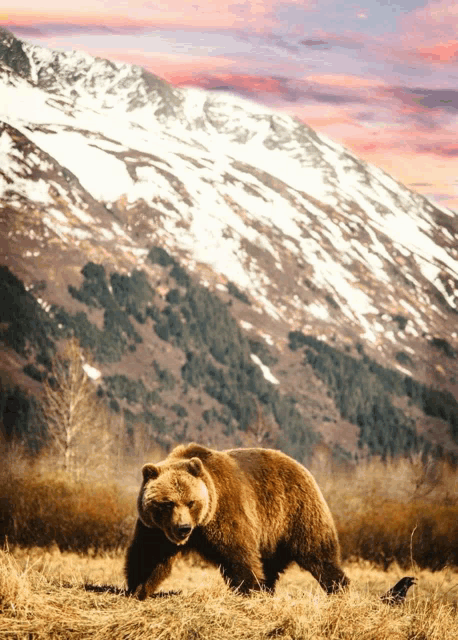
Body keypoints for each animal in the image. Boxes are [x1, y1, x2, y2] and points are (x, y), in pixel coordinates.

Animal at [125, 442, 348, 596]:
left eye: (191, 502)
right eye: (168, 503)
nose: (183, 528)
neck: (200, 524)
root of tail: (300, 465)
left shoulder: (225, 511)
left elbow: (238, 553)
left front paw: (248, 589)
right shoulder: (156, 529)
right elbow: (148, 555)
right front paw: (137, 589)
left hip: (294, 511)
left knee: (317, 552)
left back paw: (338, 587)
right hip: (271, 536)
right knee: (270, 565)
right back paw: (268, 588)